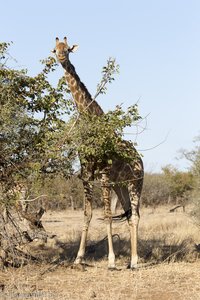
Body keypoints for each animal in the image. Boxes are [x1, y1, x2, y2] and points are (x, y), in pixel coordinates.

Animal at [52, 37, 144, 270]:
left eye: (68, 49)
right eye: (54, 49)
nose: (62, 57)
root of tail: (140, 161)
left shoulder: (103, 174)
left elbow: (107, 216)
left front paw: (111, 261)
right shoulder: (86, 173)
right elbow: (88, 214)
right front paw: (78, 258)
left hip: (136, 183)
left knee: (136, 216)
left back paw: (135, 261)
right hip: (121, 186)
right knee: (129, 215)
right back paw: (130, 261)